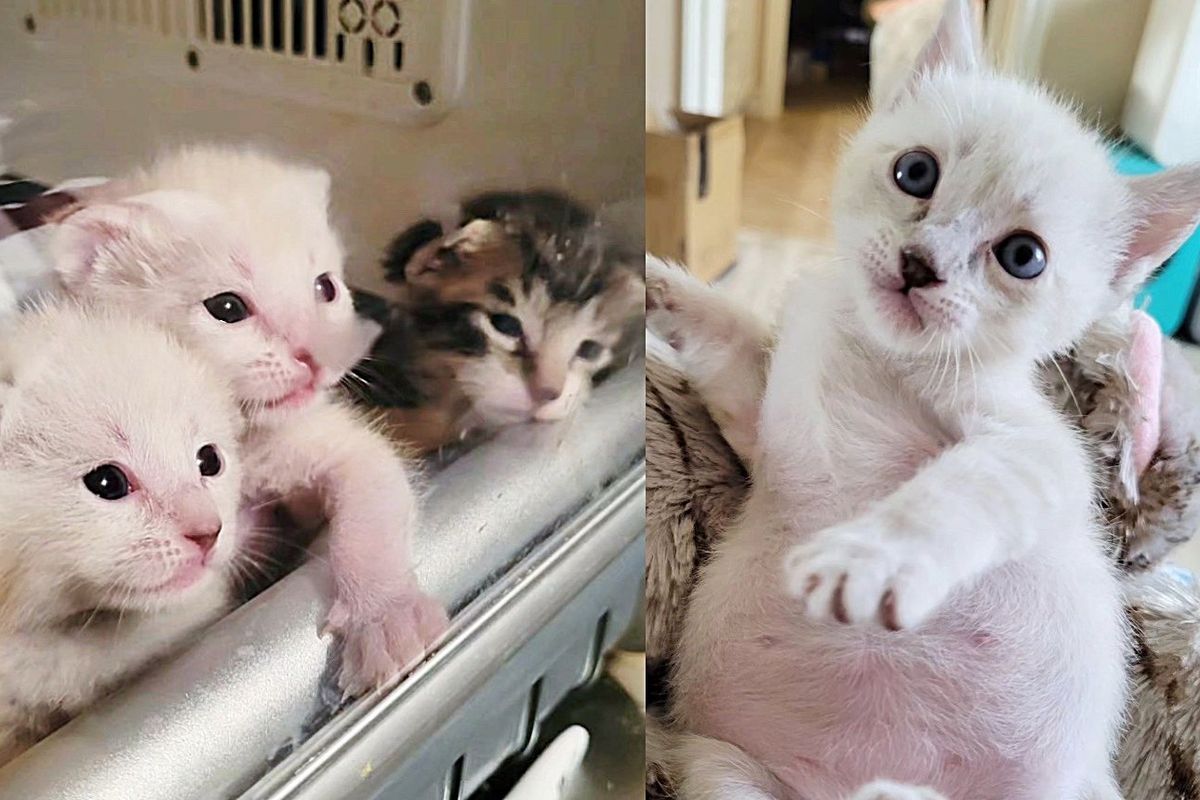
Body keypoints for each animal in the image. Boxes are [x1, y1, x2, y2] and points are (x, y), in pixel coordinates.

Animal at [672, 1, 1200, 800]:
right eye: (915, 171)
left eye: (1022, 257)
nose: (920, 265)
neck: (878, 348)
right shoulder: (758, 419)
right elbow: (725, 331)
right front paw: (652, 285)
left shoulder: (1037, 452)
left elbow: (952, 497)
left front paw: (869, 558)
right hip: (723, 771)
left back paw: (893, 791)